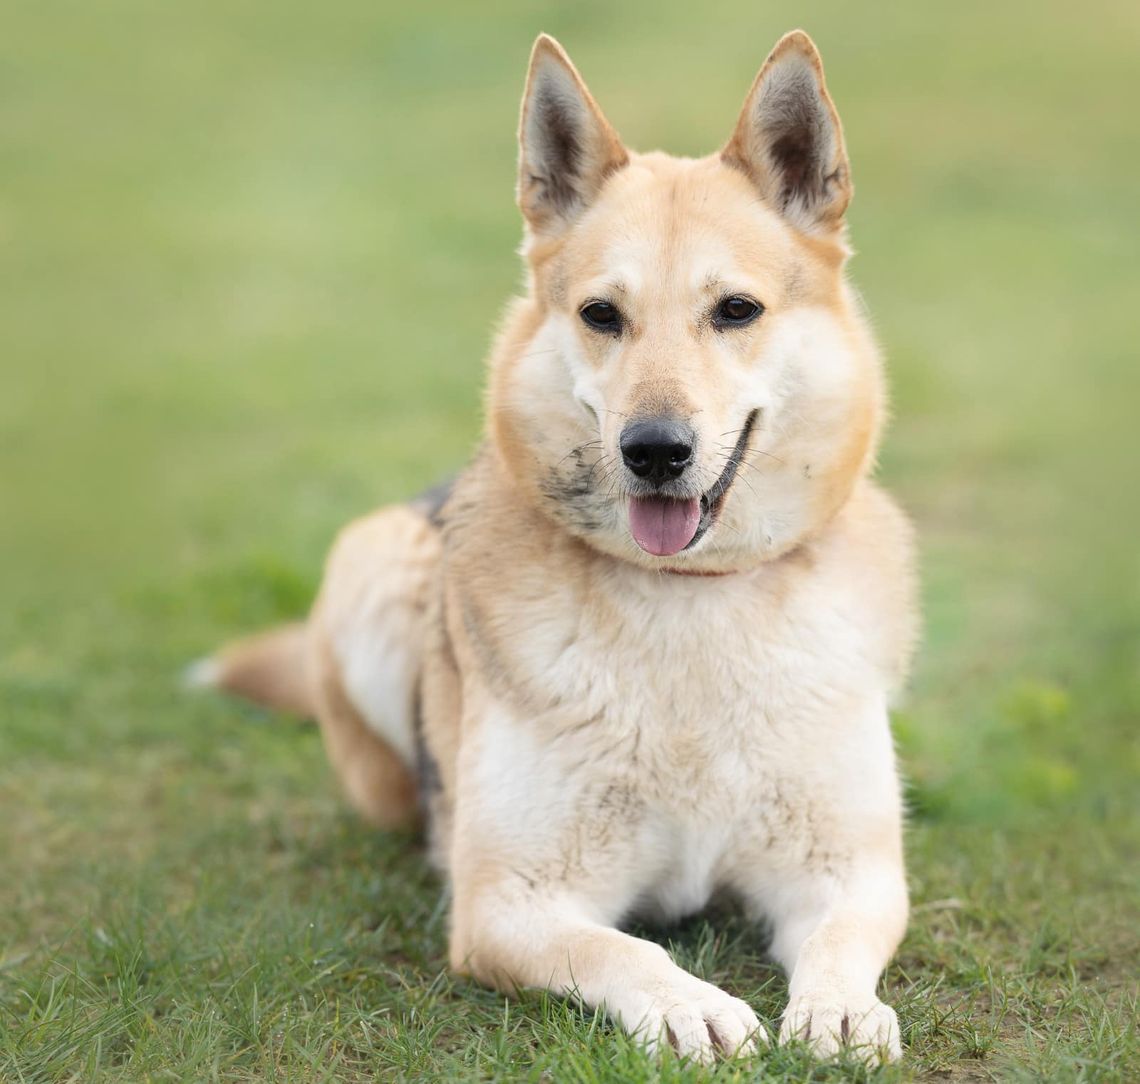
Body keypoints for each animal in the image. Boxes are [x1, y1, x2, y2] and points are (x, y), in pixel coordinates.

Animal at [196, 29, 921, 1062]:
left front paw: (842, 1009)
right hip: (373, 564)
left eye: (736, 311)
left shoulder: (850, 873)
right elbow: (622, 950)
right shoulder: (509, 903)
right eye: (601, 315)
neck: (688, 599)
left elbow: (840, 944)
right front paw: (690, 1004)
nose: (654, 451)